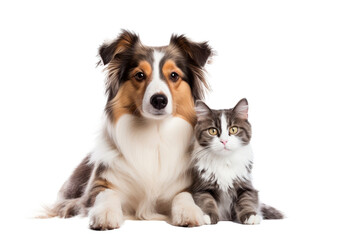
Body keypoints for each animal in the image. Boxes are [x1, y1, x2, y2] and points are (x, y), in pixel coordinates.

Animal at [46, 31, 212, 230]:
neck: (154, 133)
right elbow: (106, 194)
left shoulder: (184, 185)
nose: (159, 100)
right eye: (139, 75)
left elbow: (183, 195)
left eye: (174, 75)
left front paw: (190, 211)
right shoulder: (99, 185)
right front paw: (105, 213)